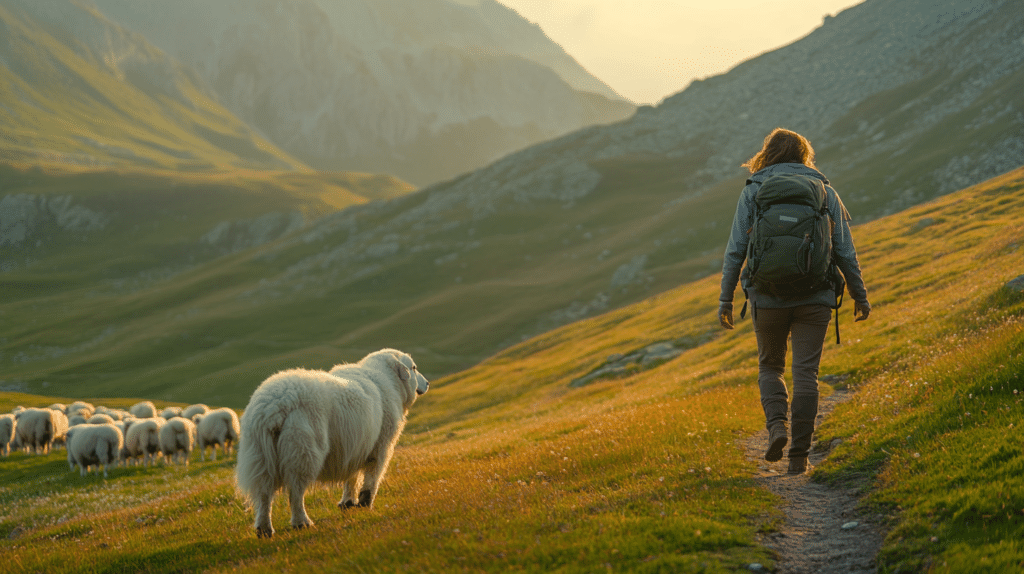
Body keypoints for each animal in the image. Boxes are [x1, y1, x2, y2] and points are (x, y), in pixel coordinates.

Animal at [235, 347, 428, 540]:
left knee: (264, 494)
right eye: (414, 367)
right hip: (302, 451)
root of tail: (274, 405)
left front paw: (347, 502)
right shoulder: (380, 447)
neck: (387, 379)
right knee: (295, 492)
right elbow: (371, 478)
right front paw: (365, 503)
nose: (427, 383)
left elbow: (352, 477)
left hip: (260, 455)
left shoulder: (355, 446)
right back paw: (301, 522)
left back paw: (264, 529)